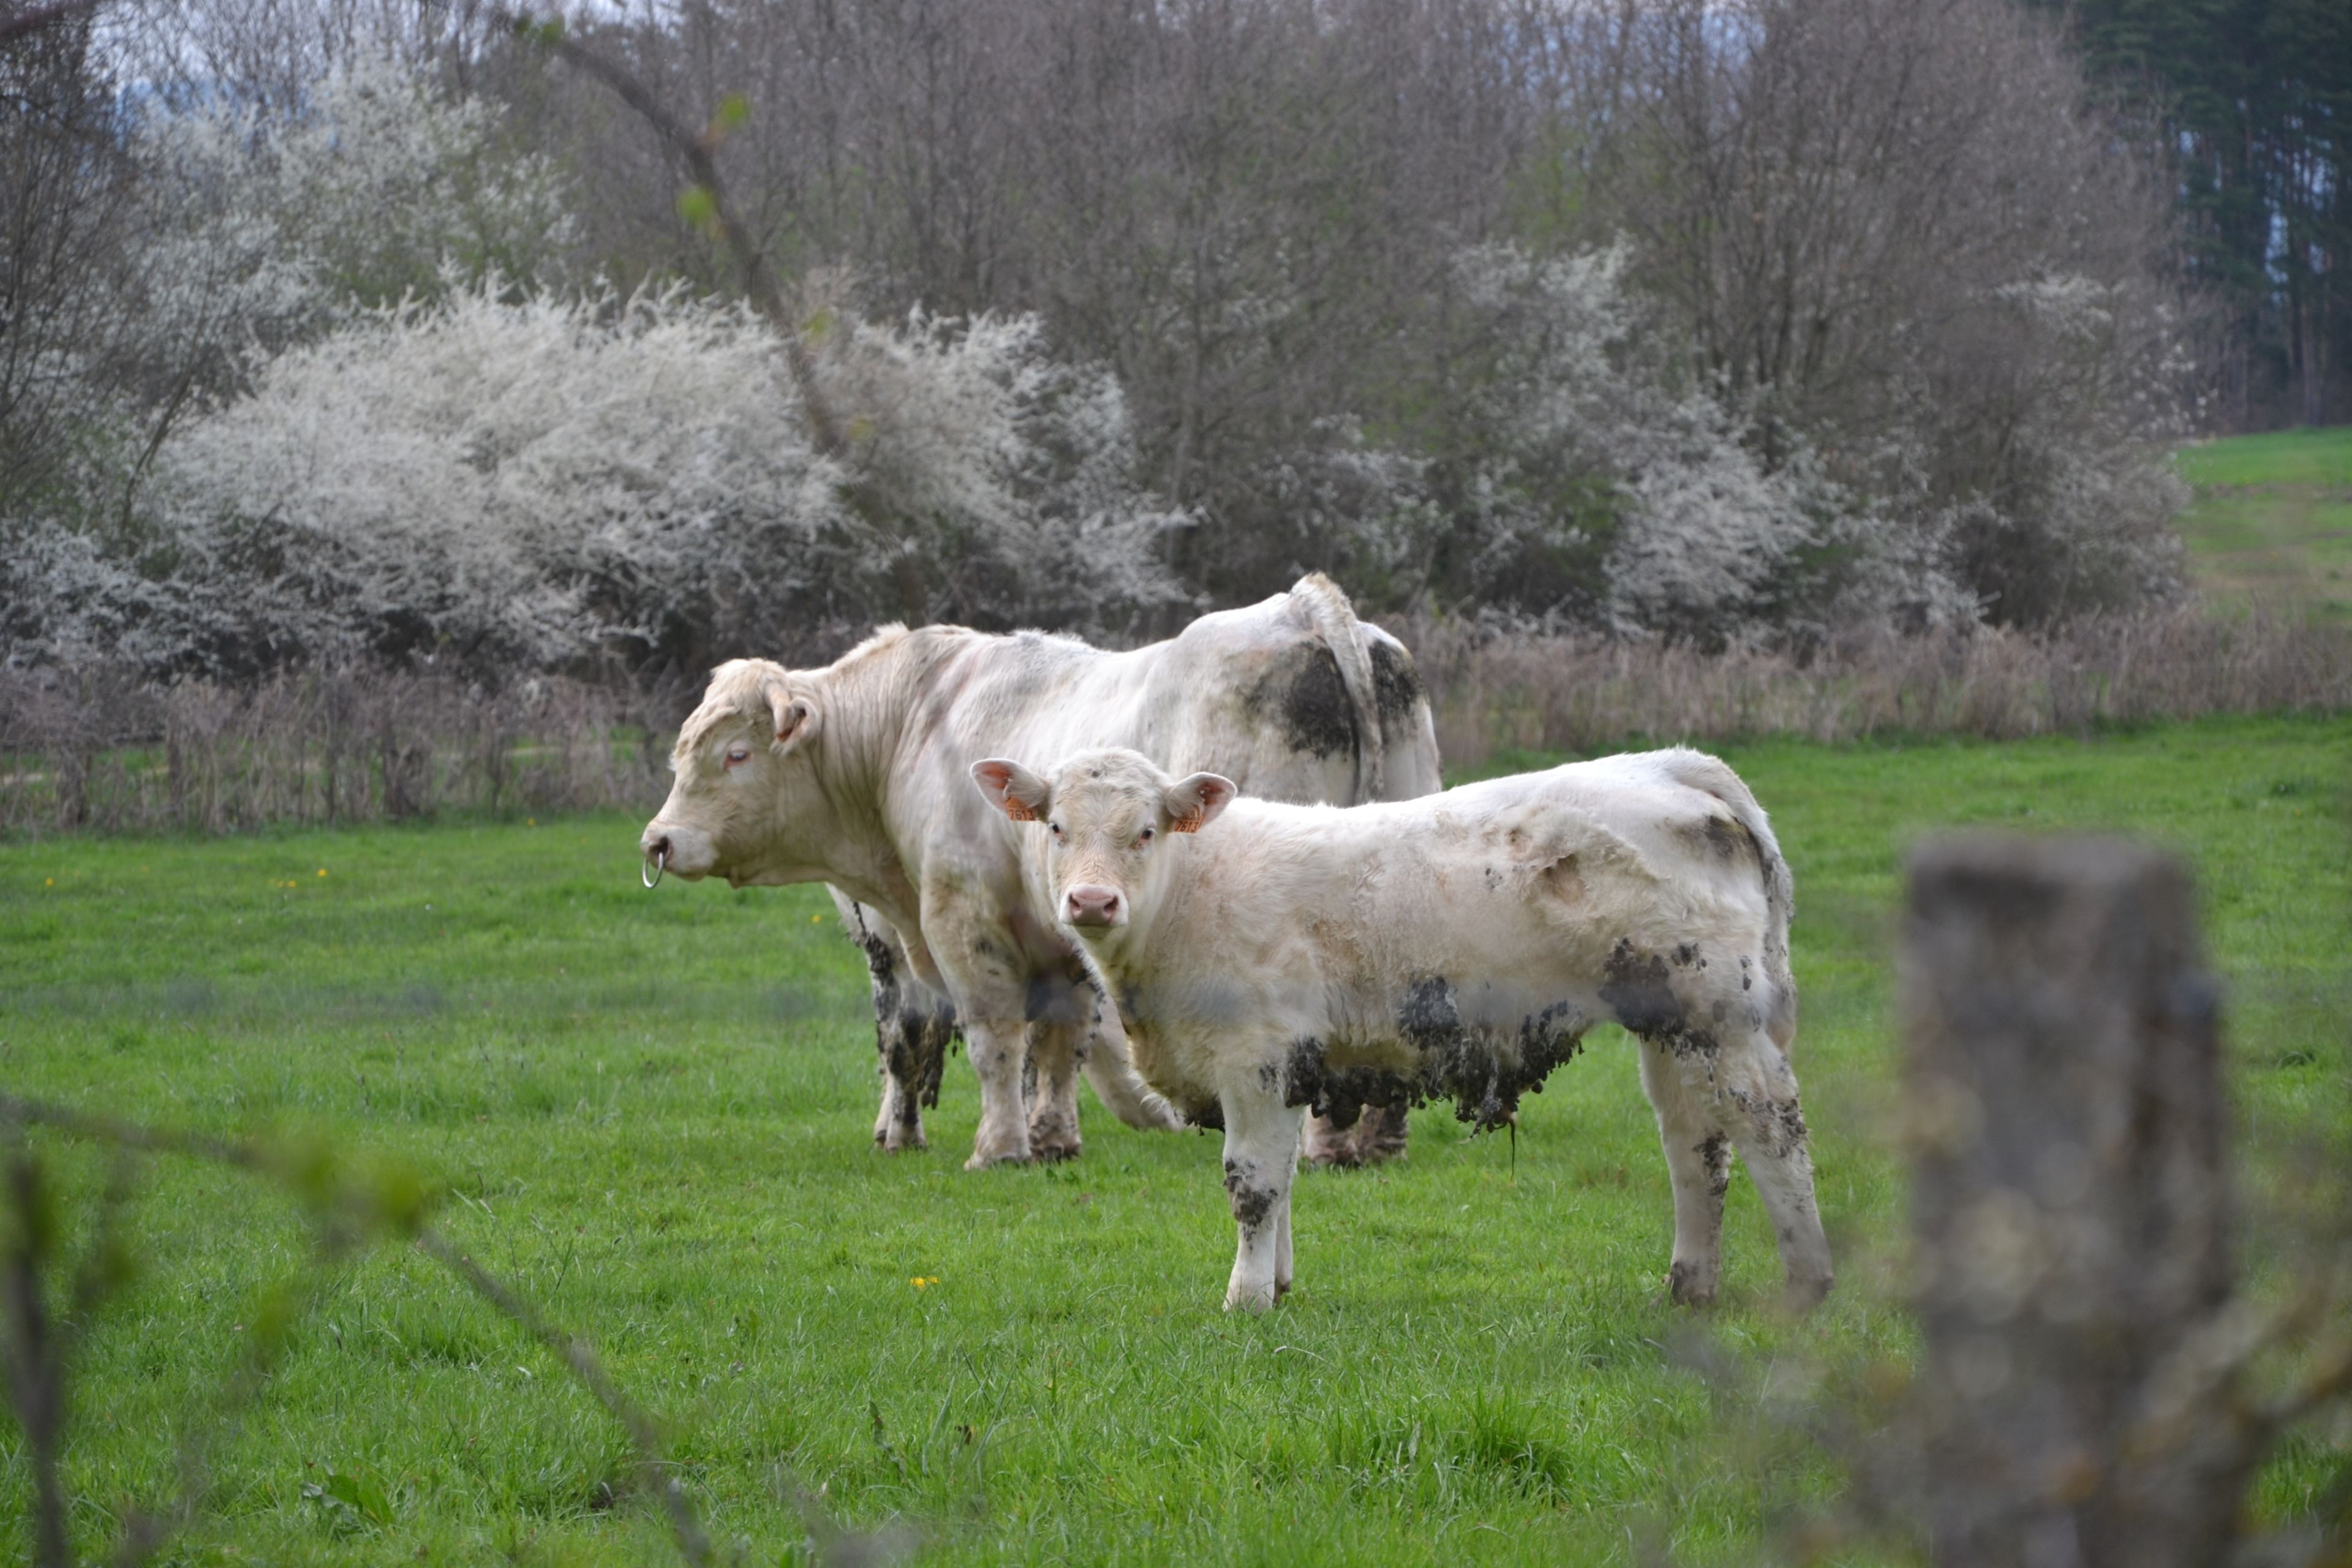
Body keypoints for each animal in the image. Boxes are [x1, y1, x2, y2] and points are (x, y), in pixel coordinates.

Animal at [638, 575, 1442, 1169]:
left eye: (735, 753)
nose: (658, 840)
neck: (911, 726)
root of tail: (1303, 608)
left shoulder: (954, 920)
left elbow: (977, 1037)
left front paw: (993, 1146)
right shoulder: (1069, 925)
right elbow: (1059, 1038)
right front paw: (1052, 1137)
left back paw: (1325, 1143)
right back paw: (1380, 1140)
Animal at [968, 745, 1834, 1312]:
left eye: (1146, 830)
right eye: (1055, 826)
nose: (1091, 902)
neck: (1188, 895)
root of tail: (1672, 764)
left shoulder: (1258, 1060)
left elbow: (1253, 1184)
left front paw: (1246, 1298)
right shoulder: (1290, 1070)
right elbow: (1284, 1180)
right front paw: (1279, 1282)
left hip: (1723, 1020)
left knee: (1772, 1132)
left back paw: (1807, 1282)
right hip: (1671, 1026)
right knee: (1697, 1149)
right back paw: (1689, 1284)